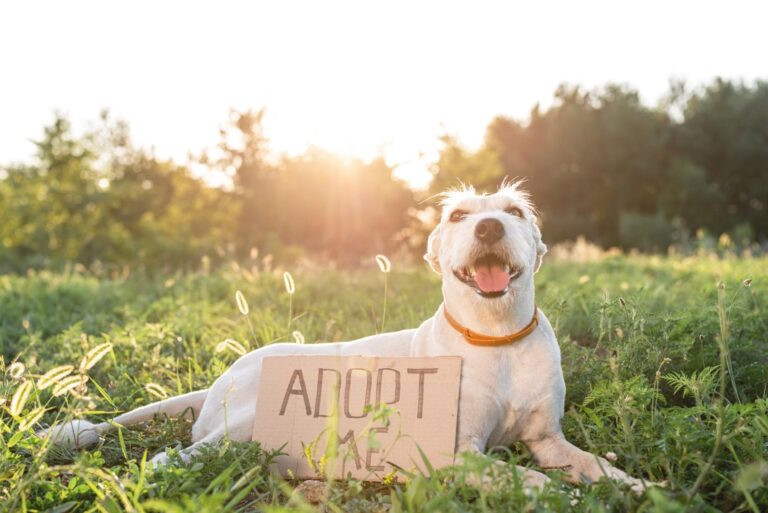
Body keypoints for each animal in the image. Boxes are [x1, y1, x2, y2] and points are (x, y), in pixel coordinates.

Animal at [45, 184, 648, 492]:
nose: (489, 227)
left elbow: (597, 467)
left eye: (516, 211)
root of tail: (225, 374)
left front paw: (637, 489)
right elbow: (527, 481)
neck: (495, 336)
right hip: (246, 426)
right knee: (178, 455)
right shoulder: (456, 453)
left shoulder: (548, 441)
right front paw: (564, 499)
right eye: (457, 215)